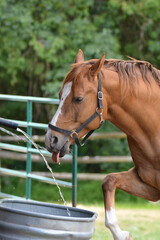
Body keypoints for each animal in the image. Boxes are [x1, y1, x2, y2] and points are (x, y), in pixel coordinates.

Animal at [45, 49, 160, 239]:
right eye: (60, 96)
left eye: (78, 99)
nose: (51, 139)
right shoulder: (151, 186)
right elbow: (108, 181)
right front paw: (121, 234)